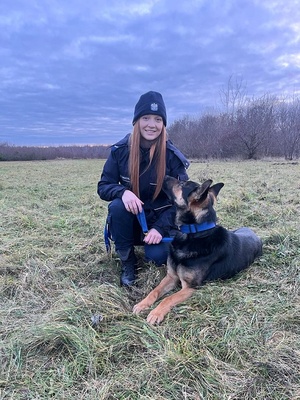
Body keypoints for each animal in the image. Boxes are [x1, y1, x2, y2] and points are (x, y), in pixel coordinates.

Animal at [134, 176, 262, 324]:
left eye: (182, 184)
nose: (164, 176)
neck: (194, 233)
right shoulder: (171, 277)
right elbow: (154, 291)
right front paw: (142, 304)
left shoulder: (190, 287)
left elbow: (168, 298)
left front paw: (156, 312)